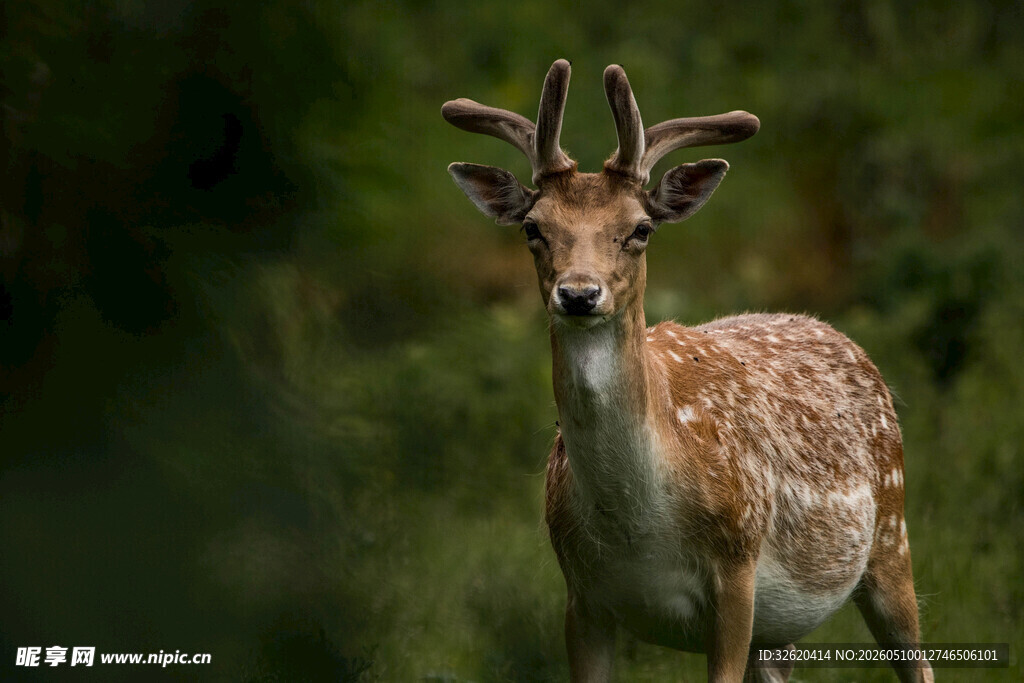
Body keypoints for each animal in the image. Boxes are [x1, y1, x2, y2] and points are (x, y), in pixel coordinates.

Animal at [443, 59, 933, 683]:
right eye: (532, 227)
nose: (578, 293)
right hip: (780, 632)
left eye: (640, 228)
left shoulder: (736, 572)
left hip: (892, 538)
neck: (636, 528)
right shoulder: (580, 596)